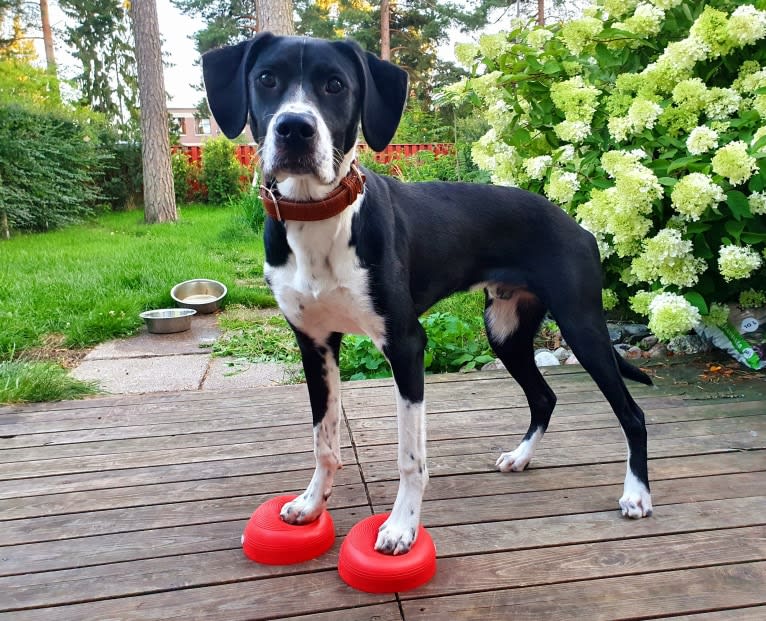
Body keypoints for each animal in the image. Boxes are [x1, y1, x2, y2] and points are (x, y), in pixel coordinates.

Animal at [202, 34, 656, 556]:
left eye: (335, 85)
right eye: (266, 79)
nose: (295, 128)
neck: (320, 218)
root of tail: (577, 225)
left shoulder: (405, 345)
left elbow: (410, 457)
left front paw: (402, 526)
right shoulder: (314, 343)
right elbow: (324, 439)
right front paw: (312, 504)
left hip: (582, 327)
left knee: (632, 413)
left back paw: (637, 495)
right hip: (505, 330)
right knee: (544, 397)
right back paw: (520, 457)